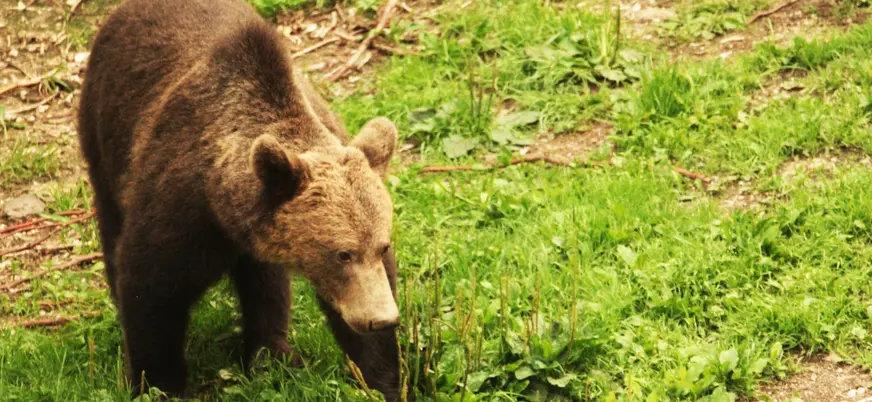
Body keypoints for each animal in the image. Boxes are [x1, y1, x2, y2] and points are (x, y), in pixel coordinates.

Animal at [76, 0, 409, 400]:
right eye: (342, 253)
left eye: (382, 246)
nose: (381, 319)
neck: (223, 202)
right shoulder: (182, 208)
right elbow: (151, 288)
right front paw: (159, 383)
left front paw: (382, 378)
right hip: (104, 127)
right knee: (112, 223)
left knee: (264, 284)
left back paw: (272, 353)